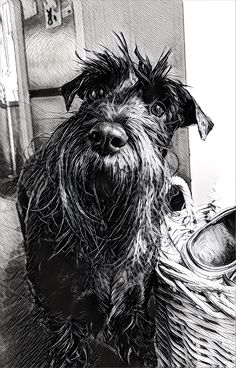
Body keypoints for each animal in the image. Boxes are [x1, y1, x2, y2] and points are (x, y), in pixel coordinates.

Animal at [16, 34, 212, 368]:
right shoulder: (61, 313)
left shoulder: (135, 308)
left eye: (159, 108)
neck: (106, 219)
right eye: (95, 92)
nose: (106, 135)